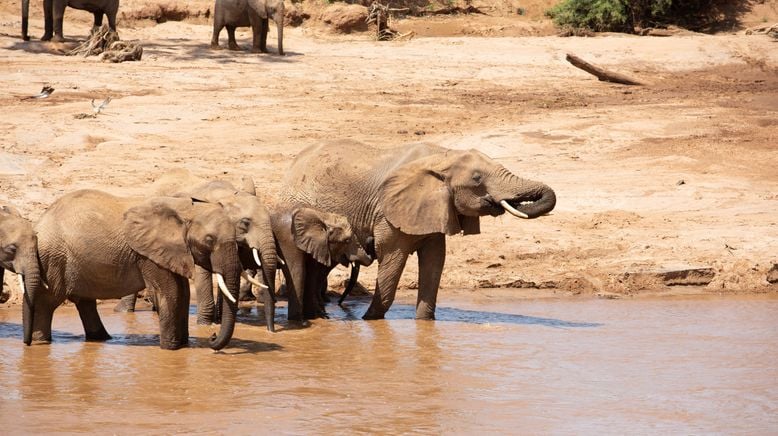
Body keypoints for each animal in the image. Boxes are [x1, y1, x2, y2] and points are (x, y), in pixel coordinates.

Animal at [31, 189, 244, 350]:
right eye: (209, 240)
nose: (212, 336)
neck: (186, 209)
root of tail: (40, 221)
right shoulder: (149, 254)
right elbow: (170, 293)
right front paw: (171, 349)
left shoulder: (172, 251)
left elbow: (182, 294)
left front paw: (183, 346)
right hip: (54, 258)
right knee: (47, 301)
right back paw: (40, 342)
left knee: (85, 301)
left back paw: (101, 339)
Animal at [112, 179, 276, 332]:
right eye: (245, 223)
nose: (271, 331)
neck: (227, 195)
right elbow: (203, 273)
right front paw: (205, 326)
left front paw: (218, 320)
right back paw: (123, 312)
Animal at [282, 140, 556, 320]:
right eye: (477, 179)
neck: (444, 156)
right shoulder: (387, 213)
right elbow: (393, 259)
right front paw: (370, 320)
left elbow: (435, 261)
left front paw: (425, 323)